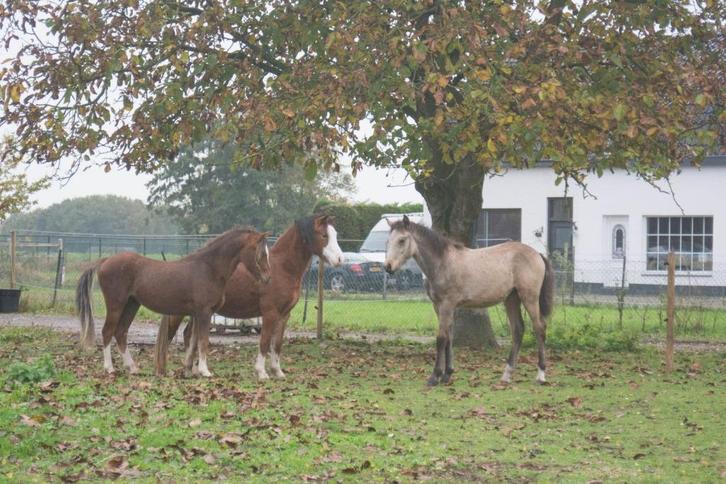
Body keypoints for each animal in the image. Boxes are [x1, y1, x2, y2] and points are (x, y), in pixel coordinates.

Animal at [76, 228, 272, 377]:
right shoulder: (204, 313)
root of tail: (105, 260)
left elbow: (193, 341)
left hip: (132, 305)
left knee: (121, 332)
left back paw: (133, 368)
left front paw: (190, 370)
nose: (267, 278)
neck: (209, 268)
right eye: (260, 253)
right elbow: (203, 341)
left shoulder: (197, 314)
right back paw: (109, 368)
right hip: (116, 305)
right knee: (107, 332)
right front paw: (205, 371)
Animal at [154, 214, 344, 379]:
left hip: (197, 313)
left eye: (335, 234)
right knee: (171, 338)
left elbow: (277, 344)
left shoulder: (284, 315)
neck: (282, 268)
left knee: (189, 335)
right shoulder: (270, 313)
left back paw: (190, 370)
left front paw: (278, 372)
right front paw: (262, 372)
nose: (340, 259)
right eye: (324, 235)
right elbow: (265, 342)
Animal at [383, 215, 555, 386]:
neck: (443, 263)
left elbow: (441, 338)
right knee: (518, 330)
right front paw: (447, 374)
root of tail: (537, 254)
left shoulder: (447, 305)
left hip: (529, 298)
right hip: (511, 299)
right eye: (388, 240)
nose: (388, 267)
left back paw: (541, 374)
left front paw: (435, 376)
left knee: (539, 328)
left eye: (402, 240)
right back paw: (506, 375)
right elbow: (449, 337)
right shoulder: (439, 306)